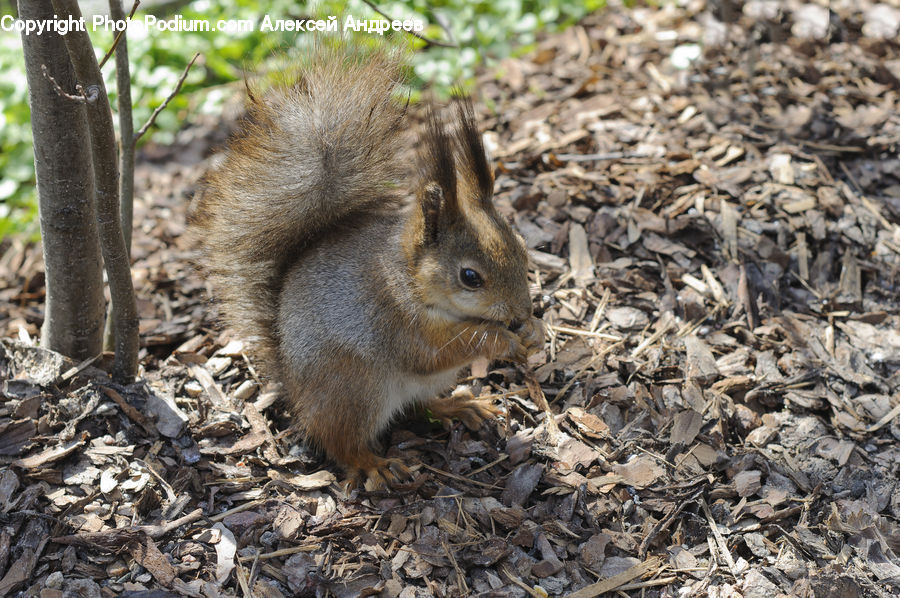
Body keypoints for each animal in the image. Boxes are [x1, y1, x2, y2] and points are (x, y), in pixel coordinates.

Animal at [188, 42, 543, 489]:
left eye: (522, 249)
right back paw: (375, 464)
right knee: (341, 442)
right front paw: (504, 341)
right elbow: (444, 348)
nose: (521, 313)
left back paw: (459, 407)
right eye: (469, 277)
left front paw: (535, 332)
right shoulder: (398, 323)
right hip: (355, 389)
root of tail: (297, 394)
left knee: (419, 406)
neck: (408, 281)